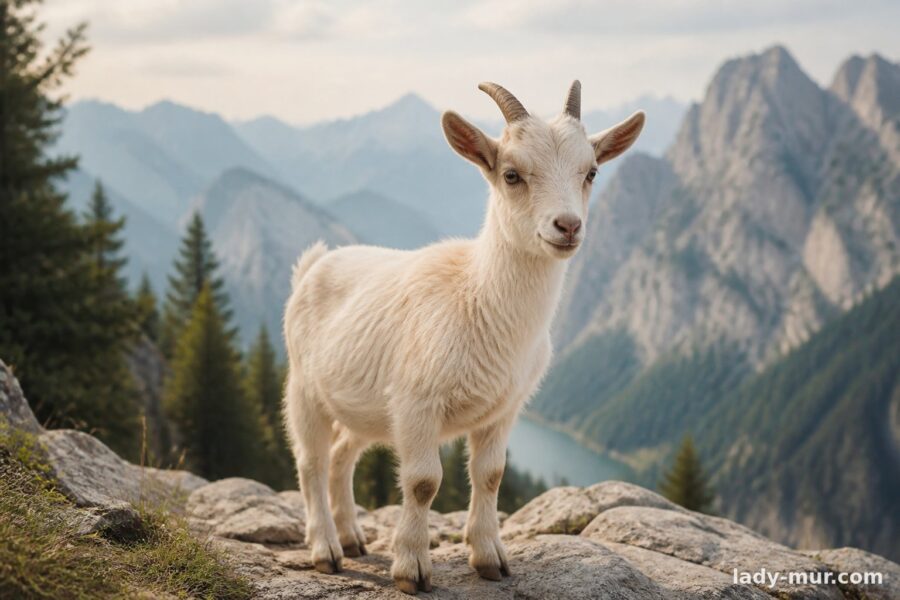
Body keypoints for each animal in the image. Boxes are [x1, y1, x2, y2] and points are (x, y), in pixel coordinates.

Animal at [283, 81, 644, 595]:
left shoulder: (504, 408)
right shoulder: (416, 403)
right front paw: (412, 569)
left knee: (340, 457)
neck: (477, 297)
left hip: (365, 409)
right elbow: (422, 482)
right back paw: (326, 550)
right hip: (303, 388)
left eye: (591, 171)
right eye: (511, 174)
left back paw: (352, 538)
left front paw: (491, 558)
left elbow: (491, 475)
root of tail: (315, 264)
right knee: (310, 460)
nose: (568, 226)